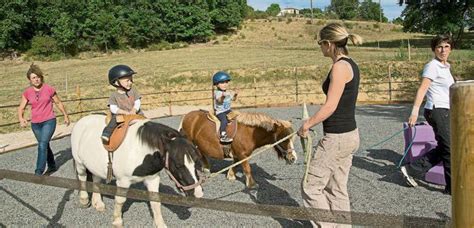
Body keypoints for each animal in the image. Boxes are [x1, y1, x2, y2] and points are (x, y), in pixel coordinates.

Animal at [71, 115, 203, 227]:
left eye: (196, 162)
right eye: (178, 165)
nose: (198, 194)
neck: (140, 150)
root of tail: (81, 121)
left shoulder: (152, 179)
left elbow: (156, 202)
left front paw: (160, 224)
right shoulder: (123, 181)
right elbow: (120, 200)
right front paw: (117, 221)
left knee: (96, 179)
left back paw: (98, 203)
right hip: (80, 164)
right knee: (82, 177)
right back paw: (84, 200)